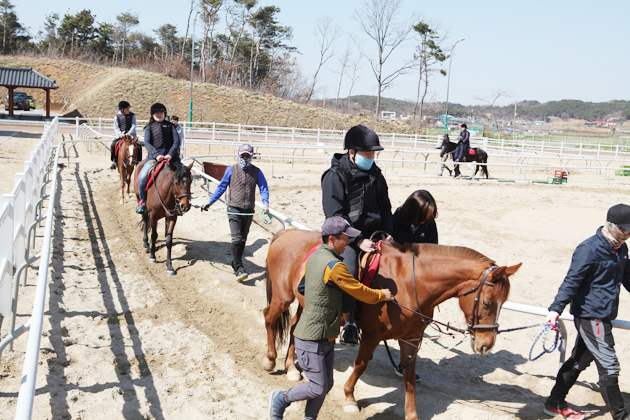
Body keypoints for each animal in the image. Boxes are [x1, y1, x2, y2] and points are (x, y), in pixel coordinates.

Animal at [262, 229, 521, 420]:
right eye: (487, 302)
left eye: (503, 303)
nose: (486, 345)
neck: (408, 283)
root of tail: (285, 233)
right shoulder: (372, 335)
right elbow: (361, 365)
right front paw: (349, 398)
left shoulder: (411, 339)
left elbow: (409, 377)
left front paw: (411, 415)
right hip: (283, 297)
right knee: (269, 318)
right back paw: (271, 360)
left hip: (305, 304)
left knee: (295, 328)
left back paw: (291, 368)